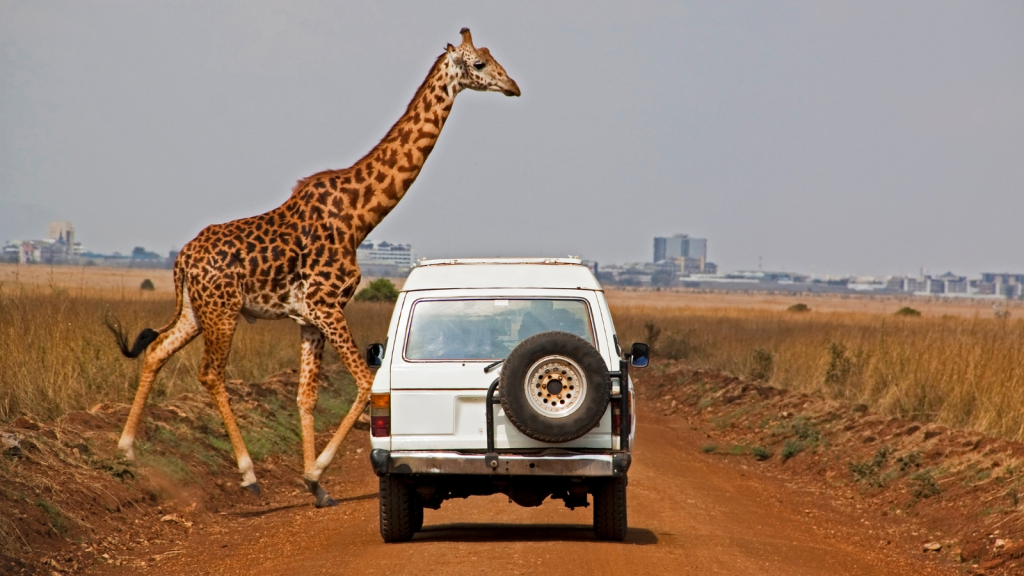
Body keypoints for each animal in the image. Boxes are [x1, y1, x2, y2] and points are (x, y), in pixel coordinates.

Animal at [110, 28, 520, 502]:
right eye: (480, 64)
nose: (513, 86)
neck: (360, 216)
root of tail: (181, 262)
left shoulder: (308, 317)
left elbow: (306, 397)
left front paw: (315, 482)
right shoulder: (327, 305)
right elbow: (363, 383)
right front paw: (316, 470)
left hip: (197, 310)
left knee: (157, 350)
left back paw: (126, 451)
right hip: (222, 311)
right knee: (211, 373)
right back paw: (248, 474)